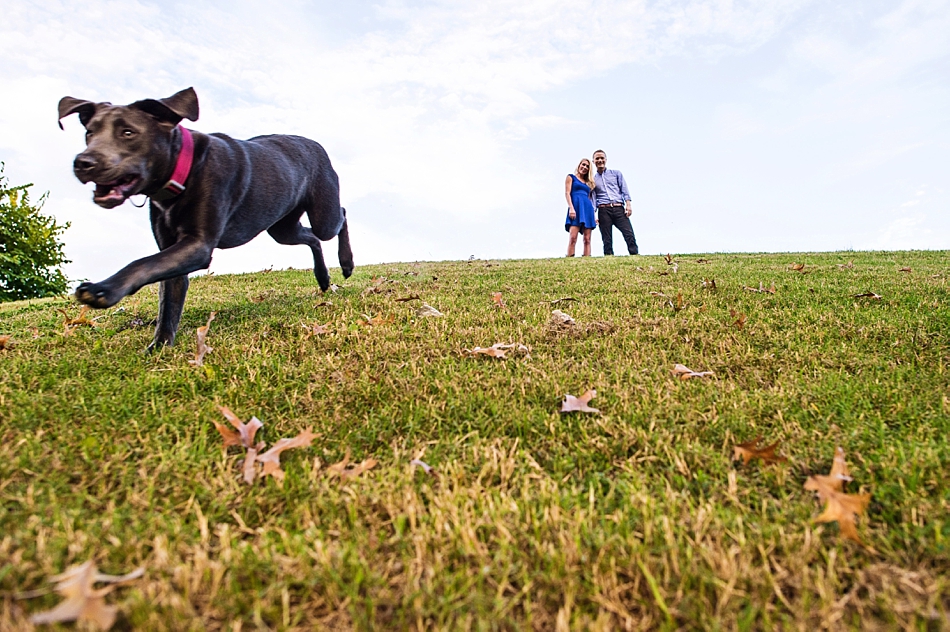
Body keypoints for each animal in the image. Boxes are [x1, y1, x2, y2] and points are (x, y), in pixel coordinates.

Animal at [57, 86, 354, 348]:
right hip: (282, 229)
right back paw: (323, 278)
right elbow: (168, 299)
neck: (184, 170)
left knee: (339, 217)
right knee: (313, 238)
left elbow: (141, 264)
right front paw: (160, 347)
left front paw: (102, 290)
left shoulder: (198, 244)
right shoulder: (173, 249)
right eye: (89, 133)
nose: (83, 163)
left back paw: (347, 263)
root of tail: (315, 144)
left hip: (323, 213)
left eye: (128, 132)